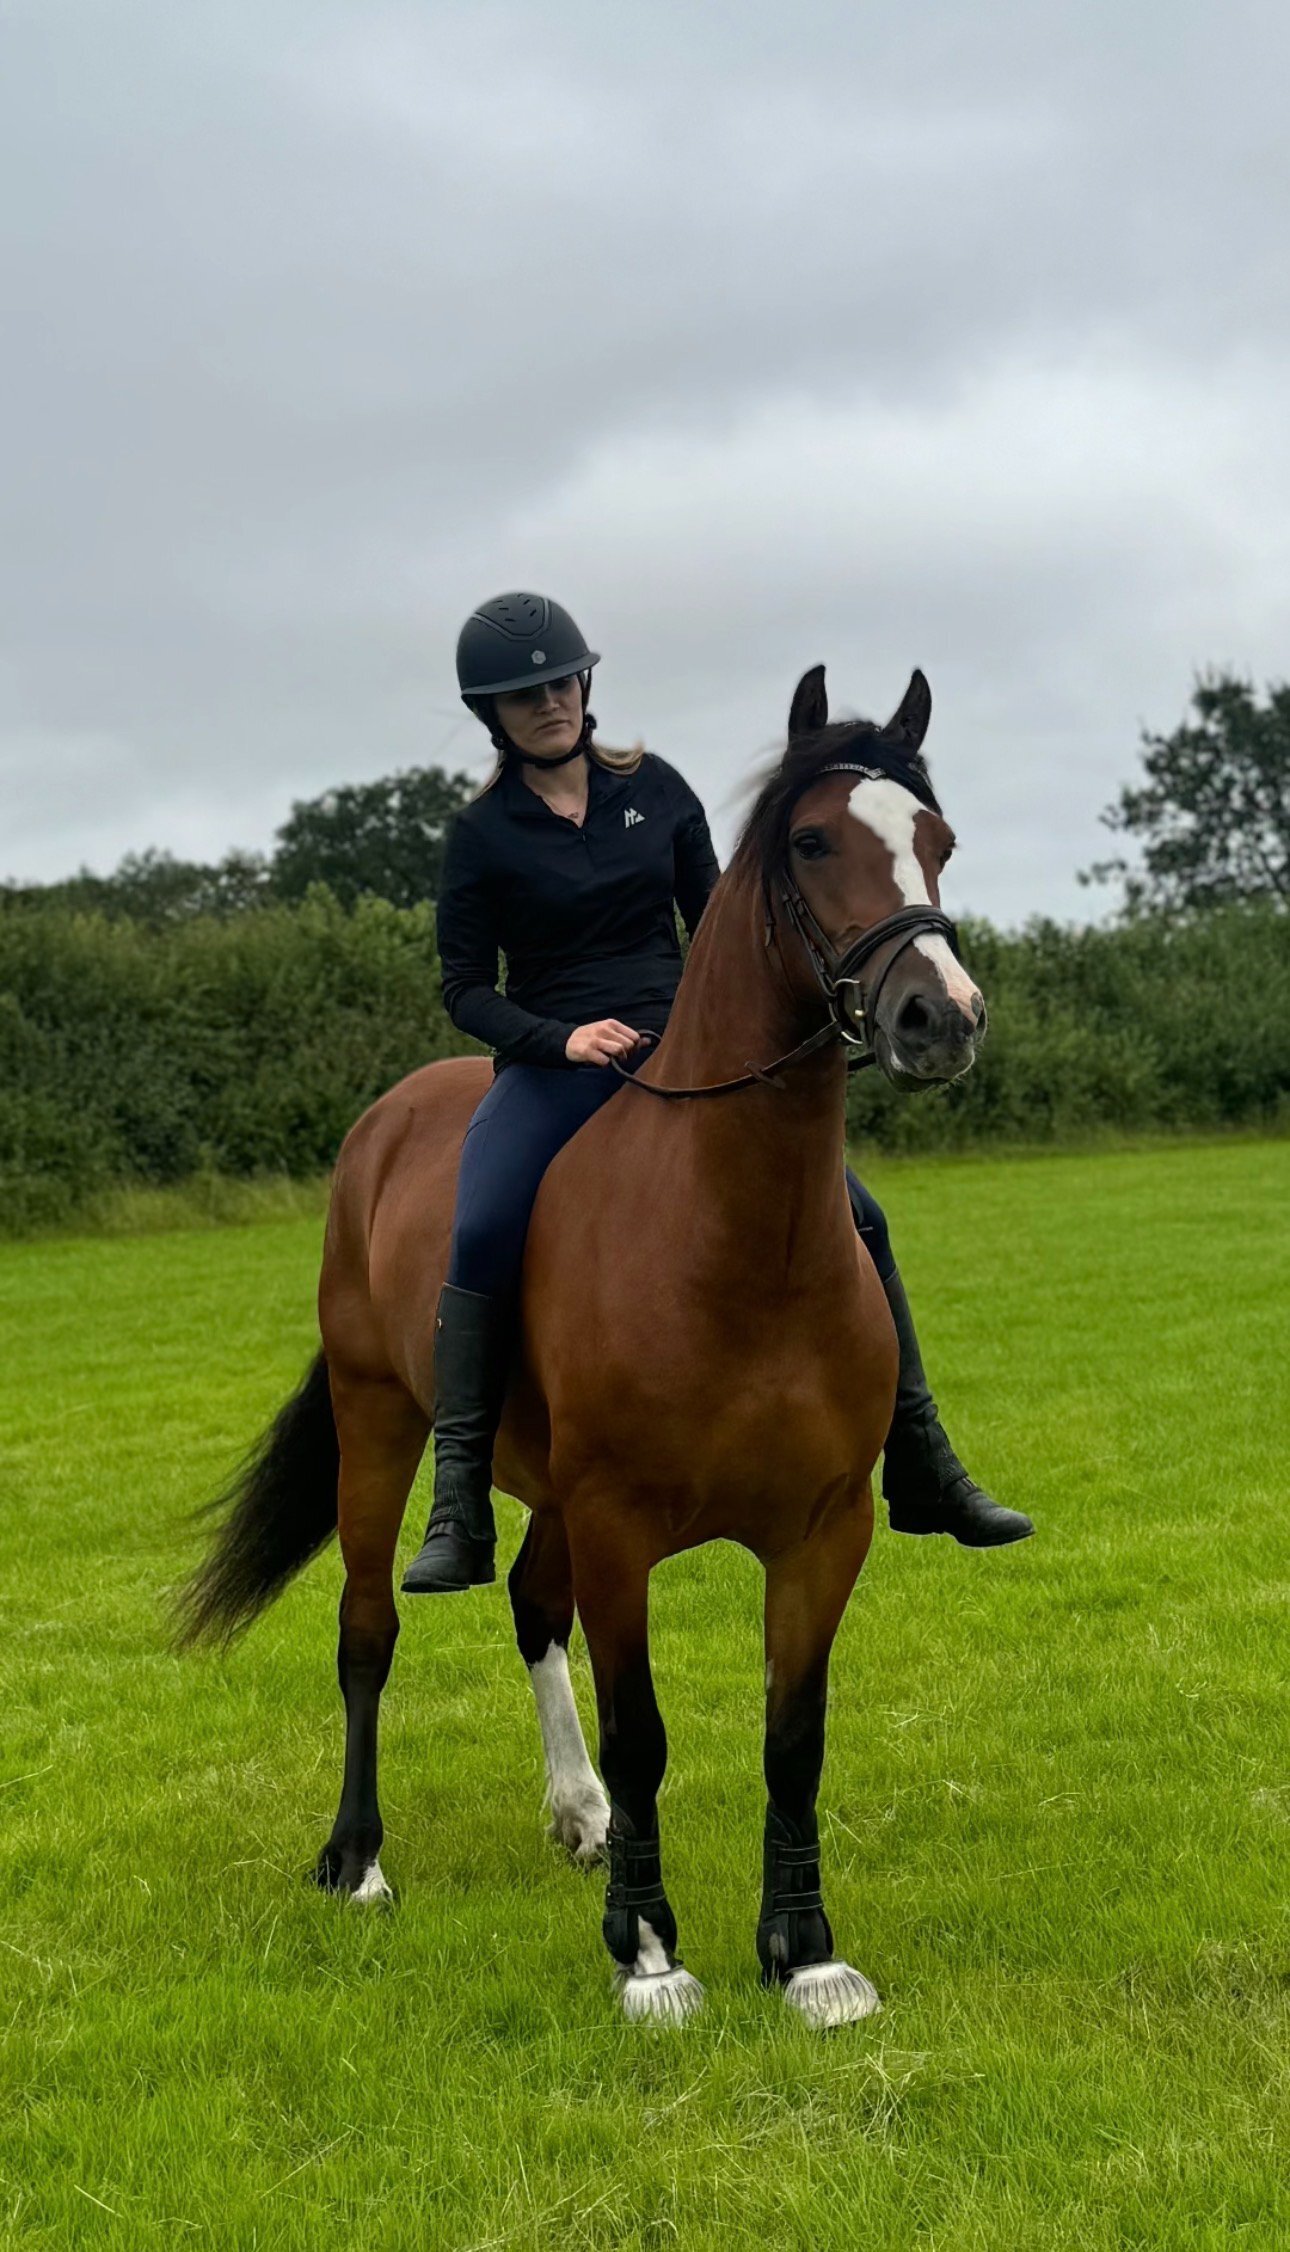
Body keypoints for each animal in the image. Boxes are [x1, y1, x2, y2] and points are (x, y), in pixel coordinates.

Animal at [179, 663, 987, 2029]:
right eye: (814, 842)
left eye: (937, 841)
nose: (943, 1017)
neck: (740, 1237)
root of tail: (391, 1115)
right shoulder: (620, 1526)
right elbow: (644, 1730)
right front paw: (651, 1954)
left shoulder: (824, 1530)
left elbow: (793, 1735)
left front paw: (806, 1955)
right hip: (382, 1427)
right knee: (368, 1628)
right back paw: (359, 1861)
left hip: (544, 1487)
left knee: (527, 1605)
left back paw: (580, 1817)